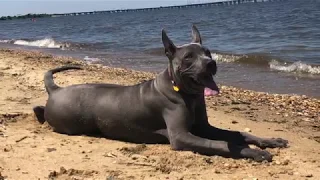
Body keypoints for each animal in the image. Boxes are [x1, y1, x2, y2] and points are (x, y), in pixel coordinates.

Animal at [33, 25, 288, 162]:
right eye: (188, 57)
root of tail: (56, 89)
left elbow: (236, 133)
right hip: (69, 122)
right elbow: (221, 144)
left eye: (207, 51)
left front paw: (270, 140)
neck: (187, 94)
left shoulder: (204, 127)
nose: (211, 63)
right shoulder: (181, 136)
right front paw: (254, 152)